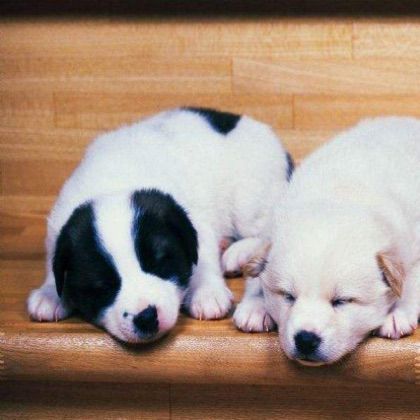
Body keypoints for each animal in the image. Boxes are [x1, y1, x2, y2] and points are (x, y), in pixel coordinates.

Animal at [27, 107, 292, 343]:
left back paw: (238, 253)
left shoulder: (195, 221)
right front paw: (50, 293)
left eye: (161, 264)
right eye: (102, 286)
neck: (113, 183)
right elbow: (53, 263)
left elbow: (204, 258)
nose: (145, 317)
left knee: (262, 230)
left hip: (249, 200)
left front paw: (207, 291)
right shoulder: (59, 228)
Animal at [237, 117, 420, 365]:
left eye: (342, 301)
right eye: (288, 296)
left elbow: (412, 281)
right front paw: (255, 306)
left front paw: (397, 313)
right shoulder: (270, 235)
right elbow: (258, 273)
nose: (305, 339)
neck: (341, 197)